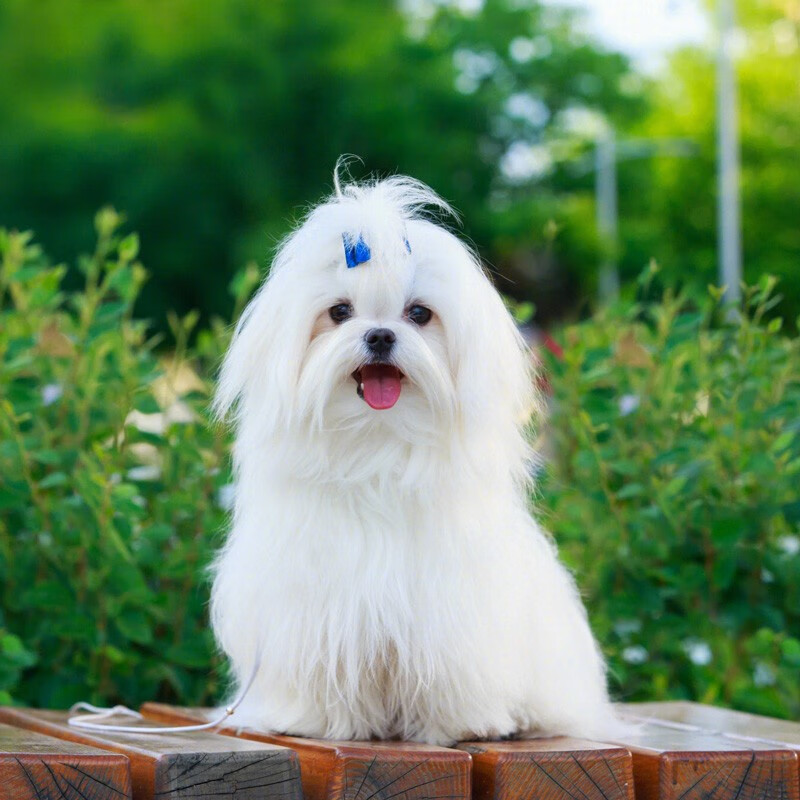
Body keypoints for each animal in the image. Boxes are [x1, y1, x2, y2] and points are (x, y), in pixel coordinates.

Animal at [209, 169, 616, 744]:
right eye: (339, 312)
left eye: (419, 314)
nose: (380, 335)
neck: (378, 447)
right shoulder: (314, 607)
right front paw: (320, 720)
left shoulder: (451, 611)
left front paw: (456, 725)